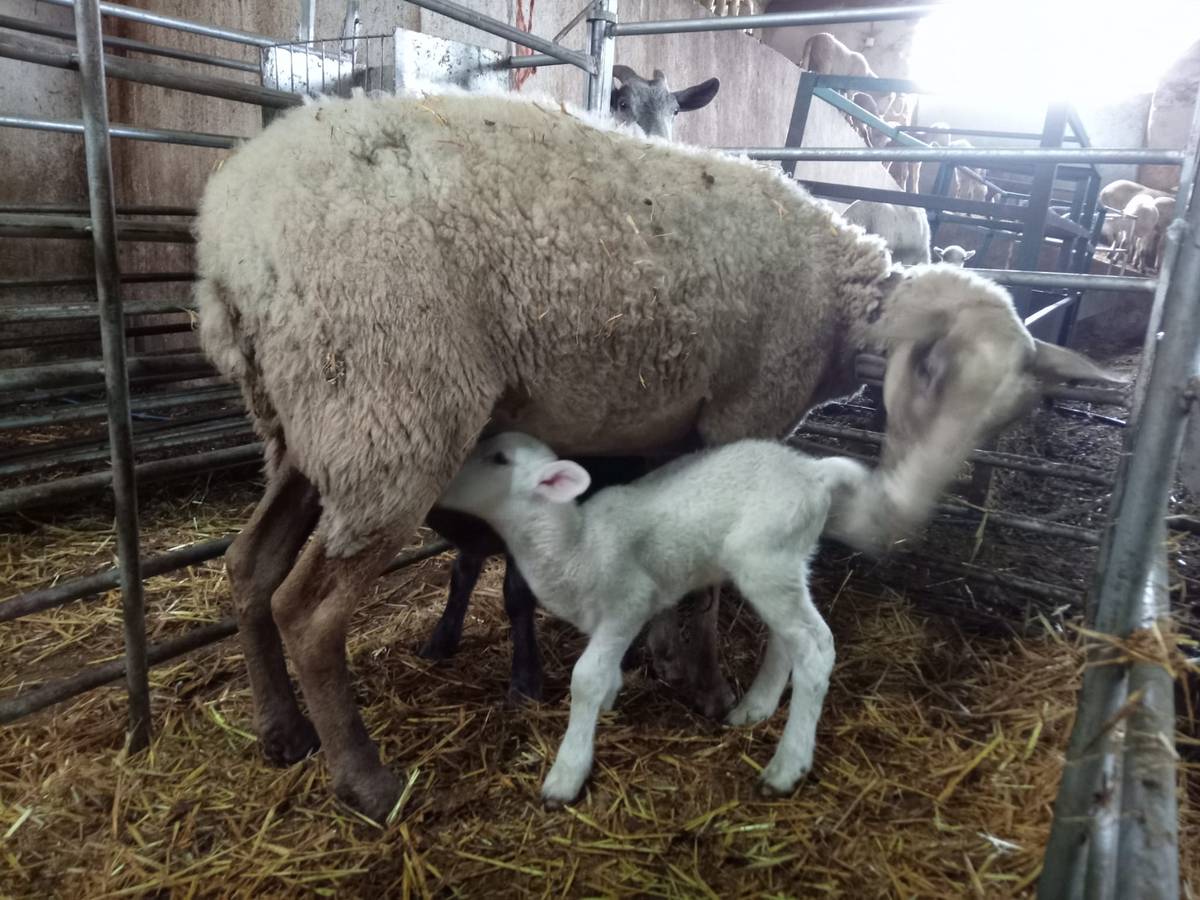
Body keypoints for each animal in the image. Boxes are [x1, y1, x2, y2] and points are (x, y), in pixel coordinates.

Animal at [436, 434, 868, 806]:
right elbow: (606, 669)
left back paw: (787, 766)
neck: (576, 547)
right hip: (786, 561)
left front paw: (567, 771)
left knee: (815, 647)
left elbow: (586, 676)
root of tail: (813, 470)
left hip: (765, 557)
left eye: (499, 459)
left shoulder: (630, 601)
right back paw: (756, 707)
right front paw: (609, 701)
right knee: (787, 639)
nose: (446, 481)